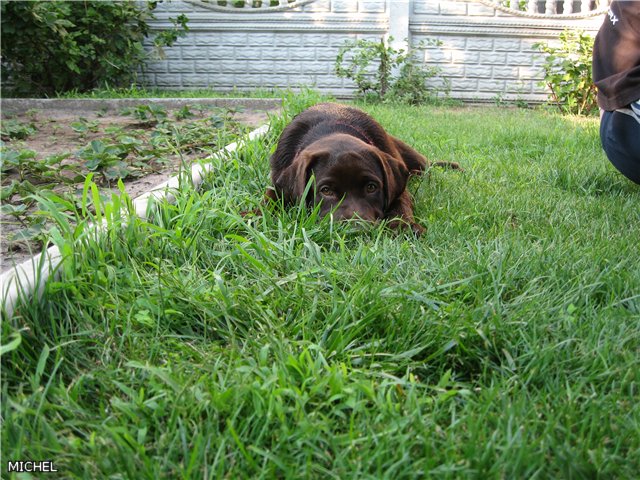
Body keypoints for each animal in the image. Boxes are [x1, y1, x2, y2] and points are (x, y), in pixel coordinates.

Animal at [266, 102, 459, 234]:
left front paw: (405, 227)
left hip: (415, 160)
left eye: (371, 187)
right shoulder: (277, 182)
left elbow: (401, 205)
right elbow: (269, 199)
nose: (356, 230)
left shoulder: (400, 190)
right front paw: (258, 217)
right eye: (326, 190)